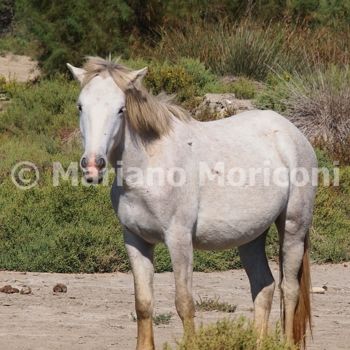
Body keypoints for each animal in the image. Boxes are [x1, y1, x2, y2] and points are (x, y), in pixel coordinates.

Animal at [67, 56, 316, 348]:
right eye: (80, 106)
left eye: (120, 109)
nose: (93, 166)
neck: (149, 166)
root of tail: (294, 133)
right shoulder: (135, 240)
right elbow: (143, 303)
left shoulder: (179, 239)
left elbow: (184, 303)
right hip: (252, 236)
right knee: (264, 286)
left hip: (293, 228)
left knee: (290, 289)